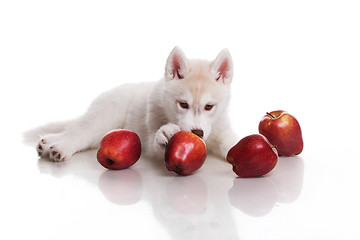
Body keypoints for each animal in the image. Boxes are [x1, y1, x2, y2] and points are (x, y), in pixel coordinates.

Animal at [35, 46, 238, 163]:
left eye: (209, 107)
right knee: (79, 132)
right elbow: (156, 142)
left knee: (73, 129)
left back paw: (47, 143)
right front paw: (165, 133)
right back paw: (61, 147)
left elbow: (230, 142)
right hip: (104, 118)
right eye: (183, 105)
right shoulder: (149, 142)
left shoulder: (221, 129)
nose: (197, 133)